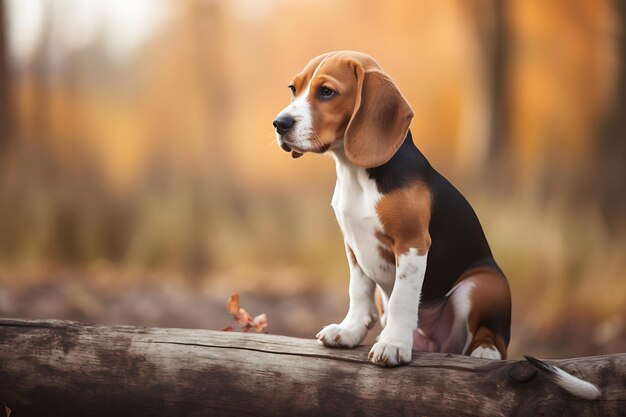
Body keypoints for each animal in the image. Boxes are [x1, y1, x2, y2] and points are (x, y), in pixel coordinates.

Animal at [270, 50, 510, 366]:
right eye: (293, 89)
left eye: (326, 92)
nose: (279, 123)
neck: (355, 173)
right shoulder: (352, 245)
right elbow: (358, 291)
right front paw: (349, 331)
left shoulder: (412, 243)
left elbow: (401, 299)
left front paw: (394, 344)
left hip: (482, 283)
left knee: (494, 338)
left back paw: (485, 350)